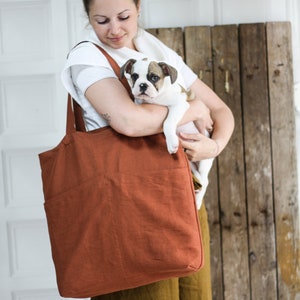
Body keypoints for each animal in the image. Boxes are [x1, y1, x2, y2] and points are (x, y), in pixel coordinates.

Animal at [120, 58, 214, 209]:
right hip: (192, 166)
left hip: (205, 161)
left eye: (154, 77)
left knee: (205, 181)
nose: (142, 85)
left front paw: (171, 142)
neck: (155, 98)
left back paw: (198, 201)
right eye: (134, 76)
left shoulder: (179, 105)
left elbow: (168, 122)